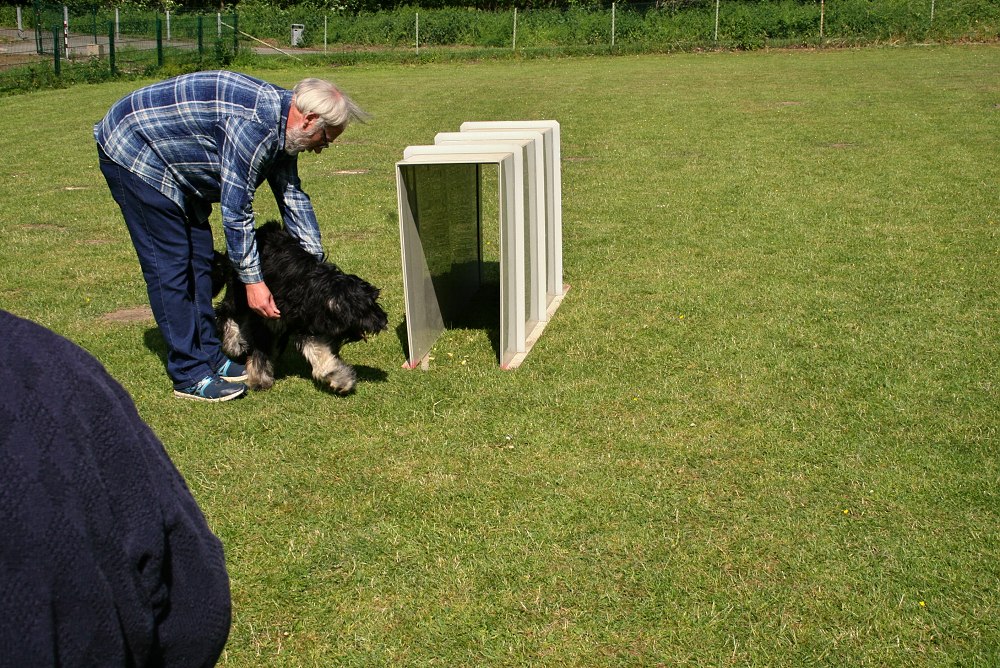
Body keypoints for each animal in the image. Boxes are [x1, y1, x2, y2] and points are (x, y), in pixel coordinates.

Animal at [217, 222, 388, 394]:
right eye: (367, 307)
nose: (383, 321)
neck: (311, 288)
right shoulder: (265, 315)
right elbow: (261, 350)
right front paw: (260, 380)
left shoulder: (306, 324)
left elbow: (319, 352)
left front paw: (340, 380)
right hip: (239, 293)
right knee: (226, 312)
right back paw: (233, 344)